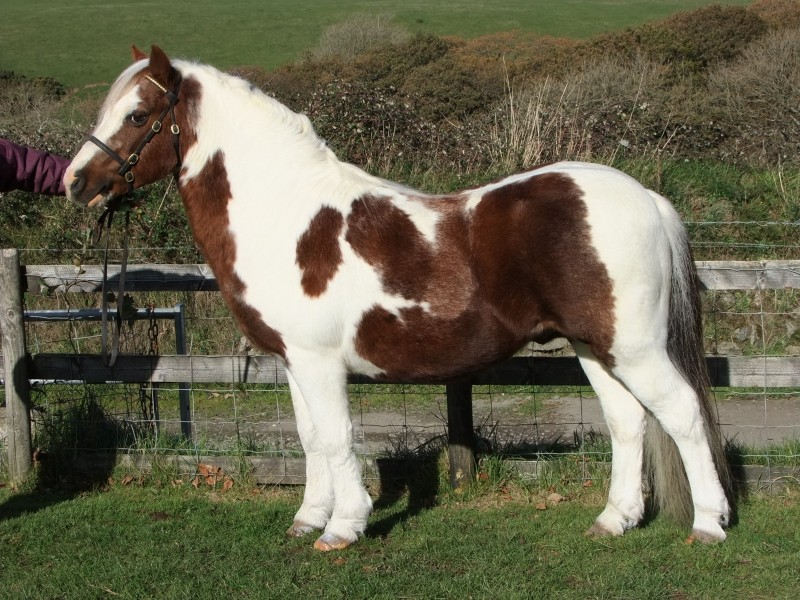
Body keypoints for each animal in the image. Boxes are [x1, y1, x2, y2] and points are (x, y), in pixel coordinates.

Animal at [64, 45, 732, 551]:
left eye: (137, 114)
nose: (76, 182)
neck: (285, 215)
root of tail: (646, 197)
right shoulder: (293, 363)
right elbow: (310, 436)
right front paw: (307, 518)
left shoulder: (319, 363)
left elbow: (337, 437)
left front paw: (342, 528)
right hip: (595, 346)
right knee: (628, 421)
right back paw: (613, 521)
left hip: (635, 348)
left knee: (683, 414)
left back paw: (708, 525)